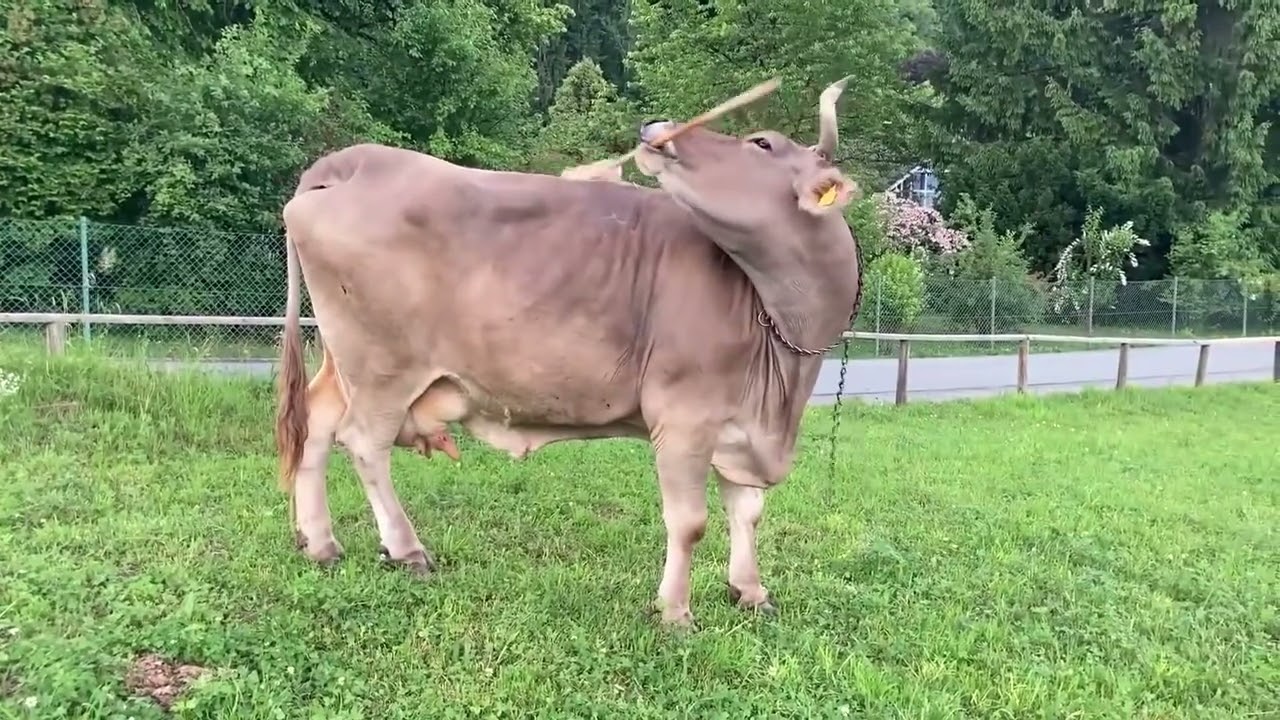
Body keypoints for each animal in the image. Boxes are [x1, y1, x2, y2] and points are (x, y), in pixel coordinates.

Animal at [275, 77, 862, 628]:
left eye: (761, 143)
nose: (656, 125)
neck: (783, 362)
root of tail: (356, 160)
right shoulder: (684, 417)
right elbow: (690, 522)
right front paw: (675, 611)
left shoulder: (743, 428)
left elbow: (748, 510)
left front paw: (751, 591)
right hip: (382, 365)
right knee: (363, 441)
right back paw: (406, 549)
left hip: (343, 360)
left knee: (318, 422)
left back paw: (320, 543)